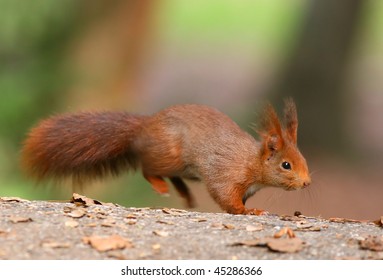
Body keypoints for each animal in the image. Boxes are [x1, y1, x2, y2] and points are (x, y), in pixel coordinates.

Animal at [21, 98, 312, 214]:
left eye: (304, 161)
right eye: (286, 165)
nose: (307, 183)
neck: (252, 162)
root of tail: (145, 127)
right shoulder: (226, 173)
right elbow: (225, 196)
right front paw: (247, 211)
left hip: (182, 167)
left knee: (172, 176)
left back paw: (185, 195)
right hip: (169, 155)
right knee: (148, 168)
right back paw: (162, 187)